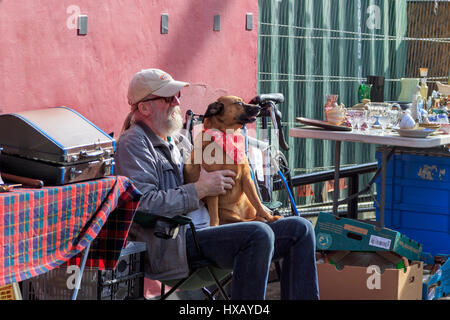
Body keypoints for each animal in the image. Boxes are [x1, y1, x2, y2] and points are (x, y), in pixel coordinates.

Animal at [183, 96, 282, 226]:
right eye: (239, 103)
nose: (259, 107)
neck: (227, 135)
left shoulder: (247, 178)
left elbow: (258, 202)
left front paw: (269, 217)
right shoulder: (214, 184)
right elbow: (214, 215)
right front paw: (213, 227)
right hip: (226, 213)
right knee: (242, 220)